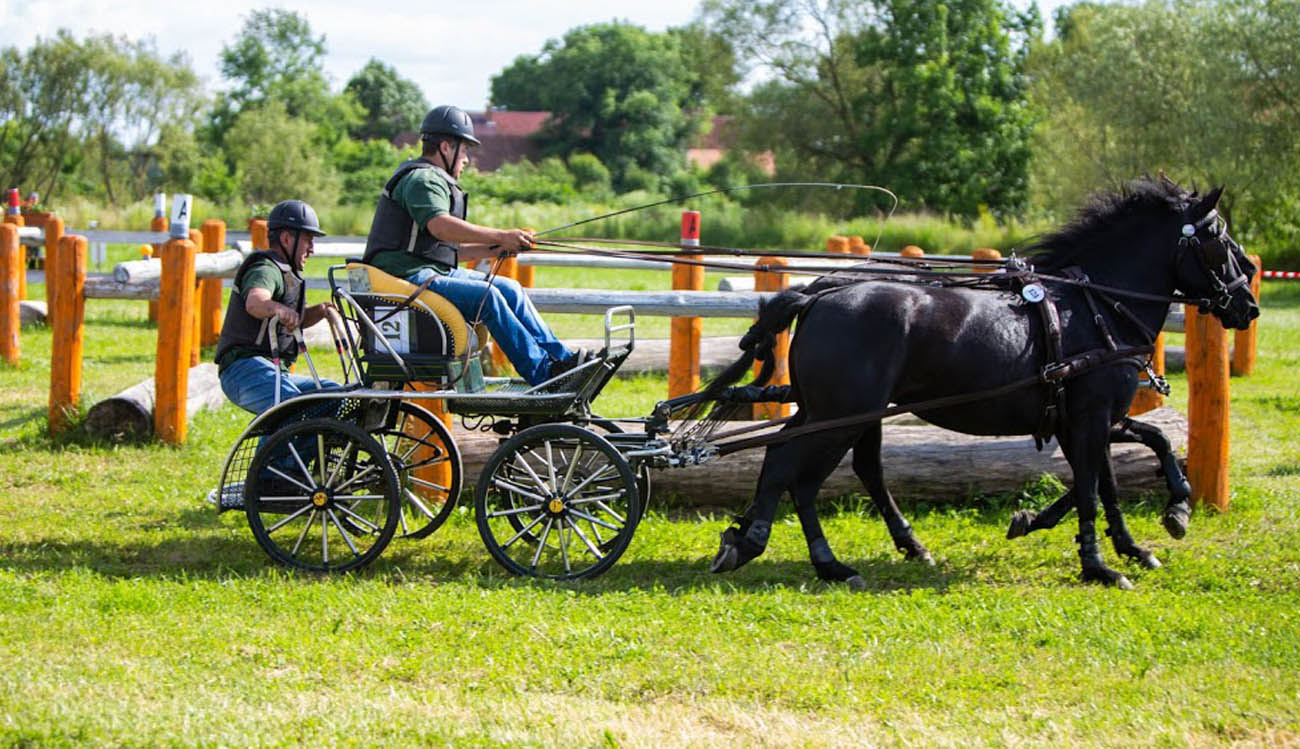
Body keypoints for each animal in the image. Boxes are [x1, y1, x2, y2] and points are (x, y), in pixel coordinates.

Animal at [702, 178, 1258, 587]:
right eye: (1218, 240)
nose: (1248, 305)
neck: (1094, 306)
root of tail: (818, 293)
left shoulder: (1089, 418)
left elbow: (1125, 464)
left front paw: (1146, 531)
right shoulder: (1091, 416)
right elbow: (1094, 486)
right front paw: (1099, 564)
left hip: (842, 413)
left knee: (834, 472)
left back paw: (857, 553)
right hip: (838, 415)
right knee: (791, 469)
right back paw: (775, 548)